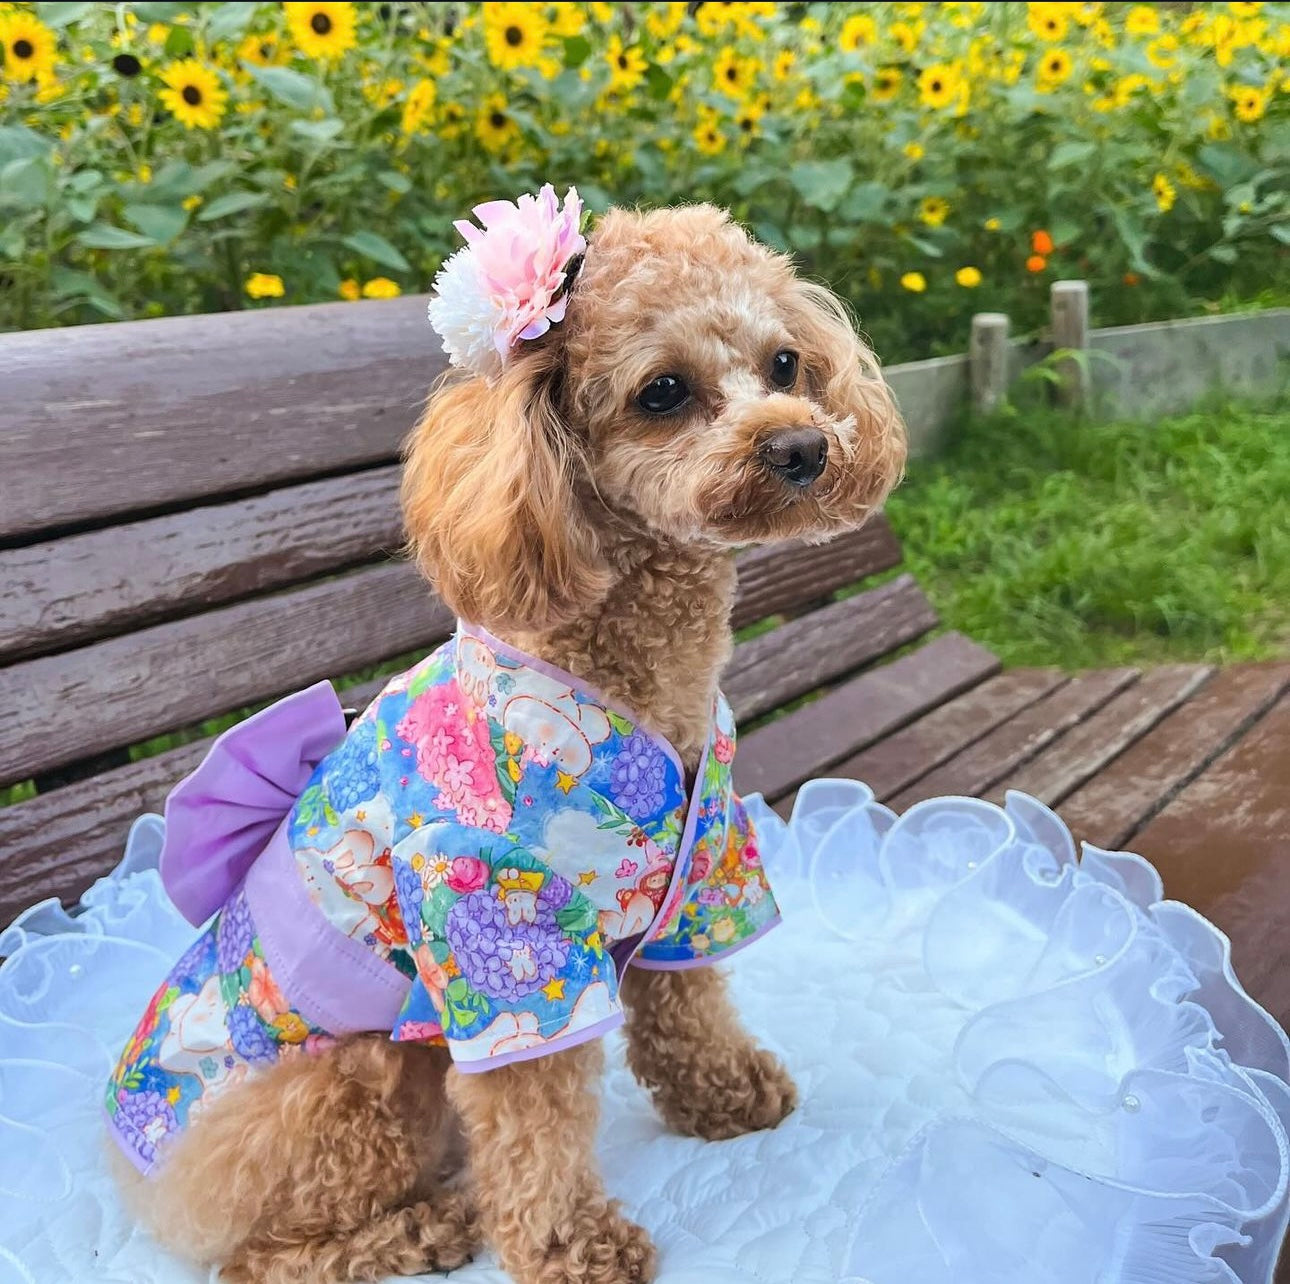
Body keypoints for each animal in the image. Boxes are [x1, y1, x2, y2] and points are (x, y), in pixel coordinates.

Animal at [110, 198, 903, 1284]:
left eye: (786, 363)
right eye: (663, 391)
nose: (801, 447)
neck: (634, 674)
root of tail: (143, 1179)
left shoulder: (700, 866)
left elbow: (687, 999)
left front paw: (728, 1095)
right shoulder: (495, 919)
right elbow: (533, 1119)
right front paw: (573, 1244)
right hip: (356, 1083)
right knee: (261, 1257)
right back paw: (428, 1228)